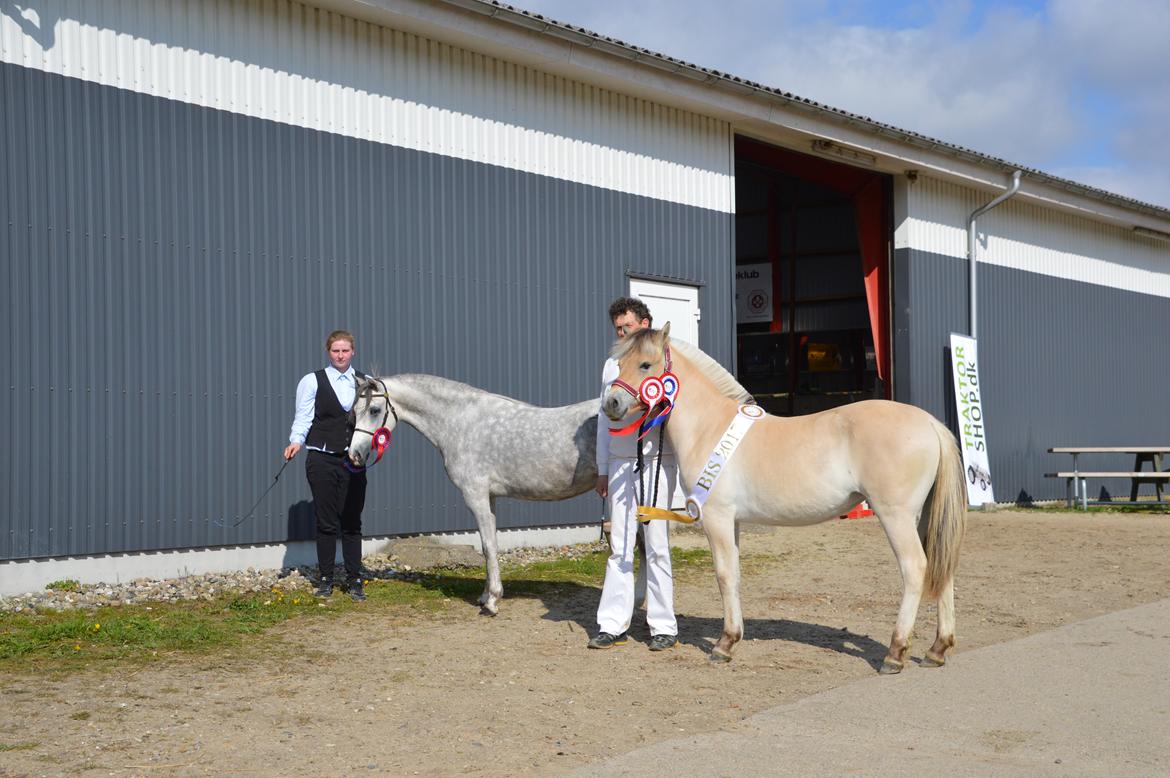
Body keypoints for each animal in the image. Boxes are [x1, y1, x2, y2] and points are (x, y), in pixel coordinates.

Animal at [345, 374, 600, 615]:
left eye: (374, 410)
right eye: (354, 412)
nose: (354, 454)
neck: (461, 421)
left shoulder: (474, 495)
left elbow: (487, 546)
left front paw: (492, 601)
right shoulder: (490, 497)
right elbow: (491, 544)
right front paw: (485, 596)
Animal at [602, 325, 967, 674]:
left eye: (645, 364)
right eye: (620, 363)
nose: (612, 404)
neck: (710, 427)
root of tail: (931, 423)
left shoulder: (717, 518)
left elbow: (723, 574)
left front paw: (724, 645)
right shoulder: (733, 521)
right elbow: (735, 574)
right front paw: (733, 638)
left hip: (897, 516)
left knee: (915, 567)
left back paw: (895, 653)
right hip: (925, 516)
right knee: (943, 568)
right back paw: (937, 649)